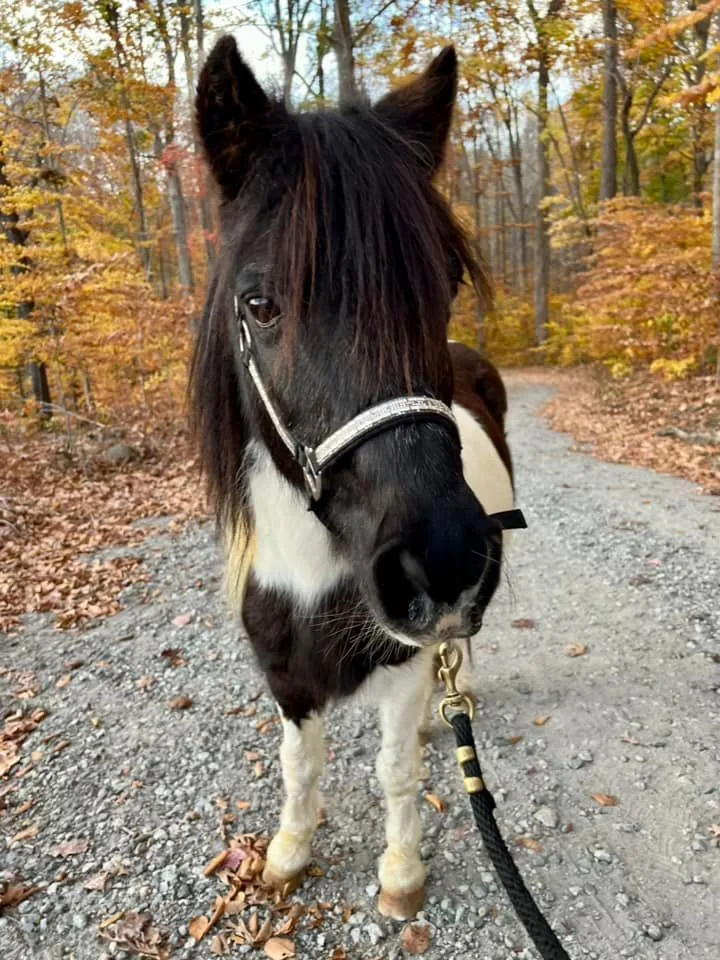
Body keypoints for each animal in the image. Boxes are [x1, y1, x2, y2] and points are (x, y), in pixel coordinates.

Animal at [191, 37, 516, 924]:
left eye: (446, 285)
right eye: (260, 304)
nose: (442, 561)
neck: (314, 578)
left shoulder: (404, 669)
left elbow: (396, 770)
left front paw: (401, 875)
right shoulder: (286, 682)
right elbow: (299, 767)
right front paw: (288, 854)